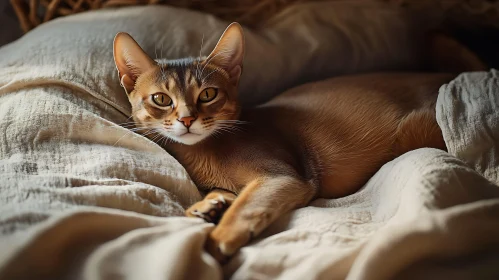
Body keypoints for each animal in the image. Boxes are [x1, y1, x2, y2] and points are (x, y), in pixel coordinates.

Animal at [112, 23, 484, 264]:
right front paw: (208, 205)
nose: (187, 120)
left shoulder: (283, 177)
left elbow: (245, 207)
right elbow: (228, 194)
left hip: (417, 128)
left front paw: (215, 244)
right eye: (161, 99)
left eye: (208, 94)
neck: (205, 151)